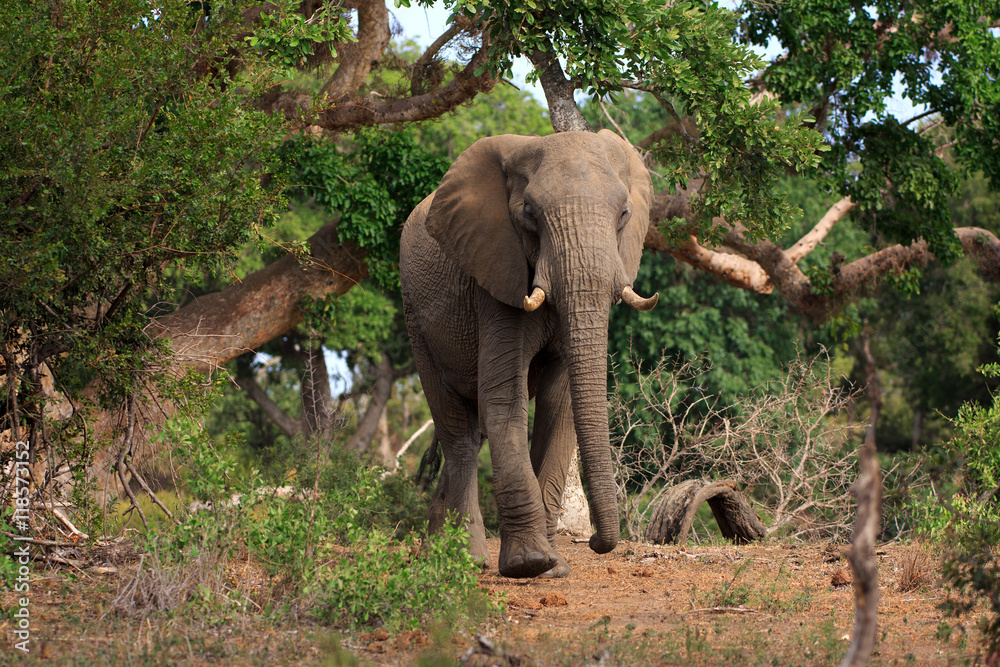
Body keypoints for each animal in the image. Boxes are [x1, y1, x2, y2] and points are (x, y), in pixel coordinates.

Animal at [399, 129, 658, 578]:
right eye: (529, 214)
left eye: (625, 213)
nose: (594, 541)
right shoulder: (495, 274)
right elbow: (505, 396)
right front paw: (529, 565)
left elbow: (560, 401)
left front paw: (553, 568)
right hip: (415, 315)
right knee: (459, 432)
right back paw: (465, 560)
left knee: (472, 432)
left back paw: (443, 552)